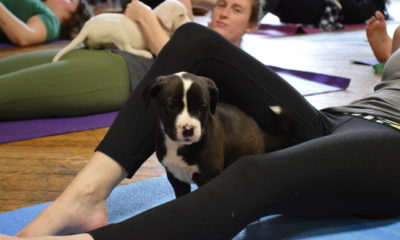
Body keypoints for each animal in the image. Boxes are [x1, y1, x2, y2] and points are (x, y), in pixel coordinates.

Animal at [52, 0, 190, 62]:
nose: (190, 23)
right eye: (181, 15)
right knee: (126, 48)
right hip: (119, 32)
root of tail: (88, 25)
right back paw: (144, 53)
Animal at [144, 72, 294, 198]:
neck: (179, 146)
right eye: (171, 106)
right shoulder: (176, 179)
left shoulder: (209, 178)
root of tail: (258, 128)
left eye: (202, 107)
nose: (188, 129)